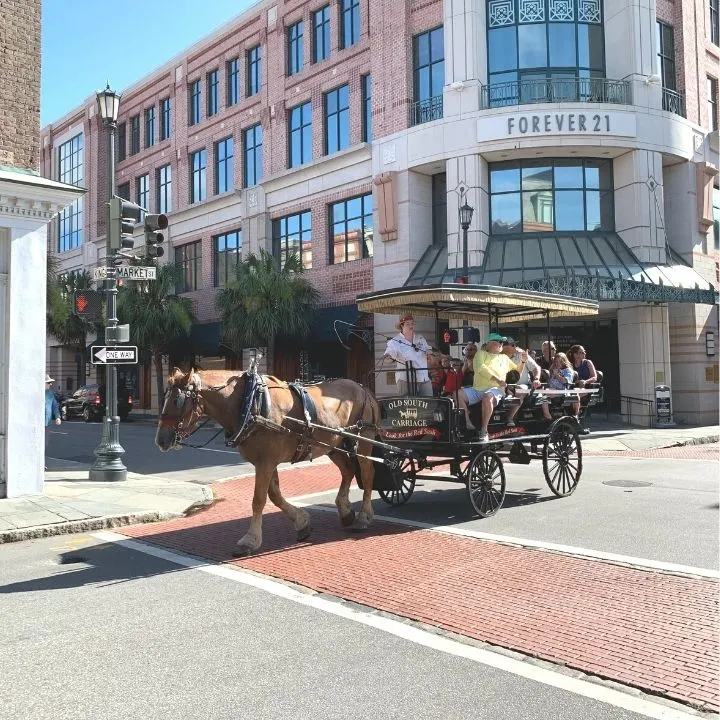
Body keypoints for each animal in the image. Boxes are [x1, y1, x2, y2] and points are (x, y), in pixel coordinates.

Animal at [155, 366, 380, 556]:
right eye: (165, 399)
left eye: (176, 401)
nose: (161, 440)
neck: (250, 403)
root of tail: (362, 387)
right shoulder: (266, 461)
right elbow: (274, 496)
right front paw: (302, 523)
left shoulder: (266, 461)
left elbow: (259, 499)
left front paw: (250, 540)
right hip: (333, 445)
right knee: (348, 470)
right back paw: (345, 511)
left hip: (363, 440)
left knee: (367, 473)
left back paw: (364, 516)